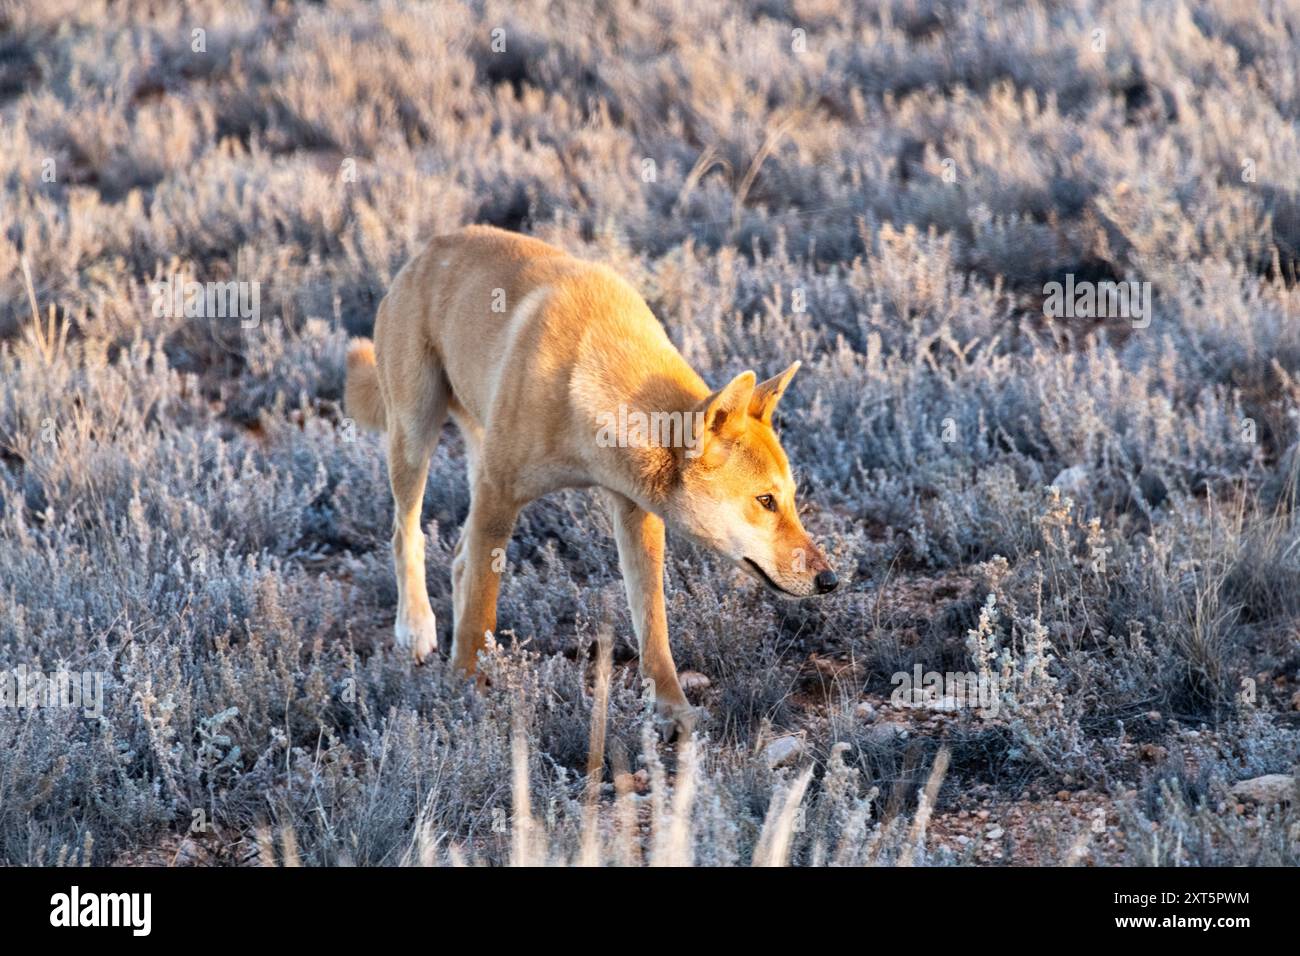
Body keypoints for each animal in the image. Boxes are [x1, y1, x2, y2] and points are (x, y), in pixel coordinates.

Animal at [345, 226, 837, 733]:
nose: (830, 580)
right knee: (407, 533)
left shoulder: (635, 510)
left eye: (791, 498)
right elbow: (481, 609)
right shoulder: (500, 496)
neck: (588, 382)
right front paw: (466, 692)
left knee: (460, 557)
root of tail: (428, 247)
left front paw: (672, 708)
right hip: (415, 433)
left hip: (473, 455)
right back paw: (416, 626)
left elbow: (653, 622)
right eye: (765, 501)